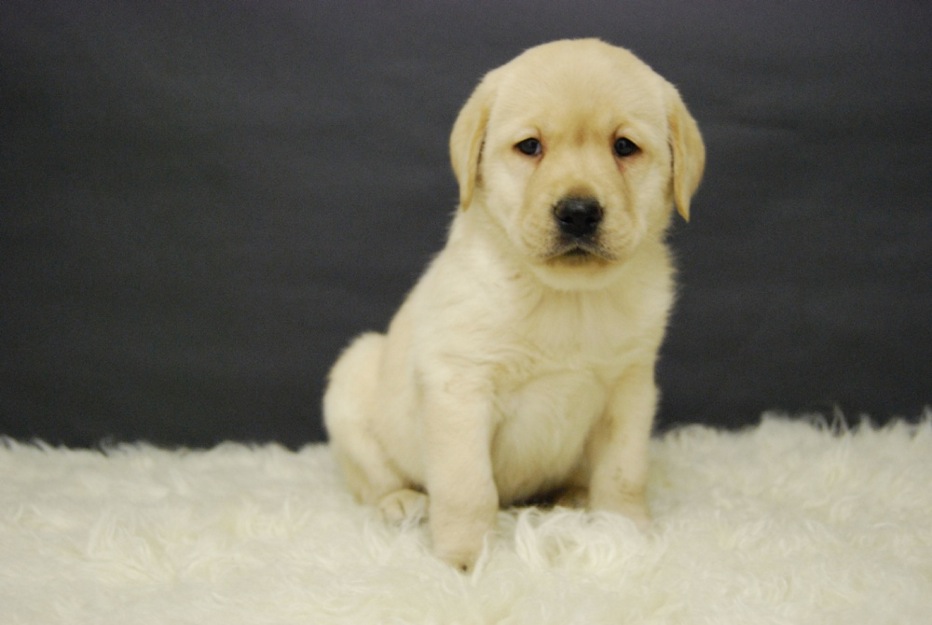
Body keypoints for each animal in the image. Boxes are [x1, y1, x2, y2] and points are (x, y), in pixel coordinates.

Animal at [324, 36, 704, 568]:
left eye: (624, 147)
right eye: (530, 146)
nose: (579, 212)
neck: (567, 297)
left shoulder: (630, 389)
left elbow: (624, 473)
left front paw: (626, 533)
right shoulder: (460, 387)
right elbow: (467, 487)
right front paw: (465, 557)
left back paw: (573, 498)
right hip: (353, 376)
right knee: (371, 479)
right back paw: (400, 502)